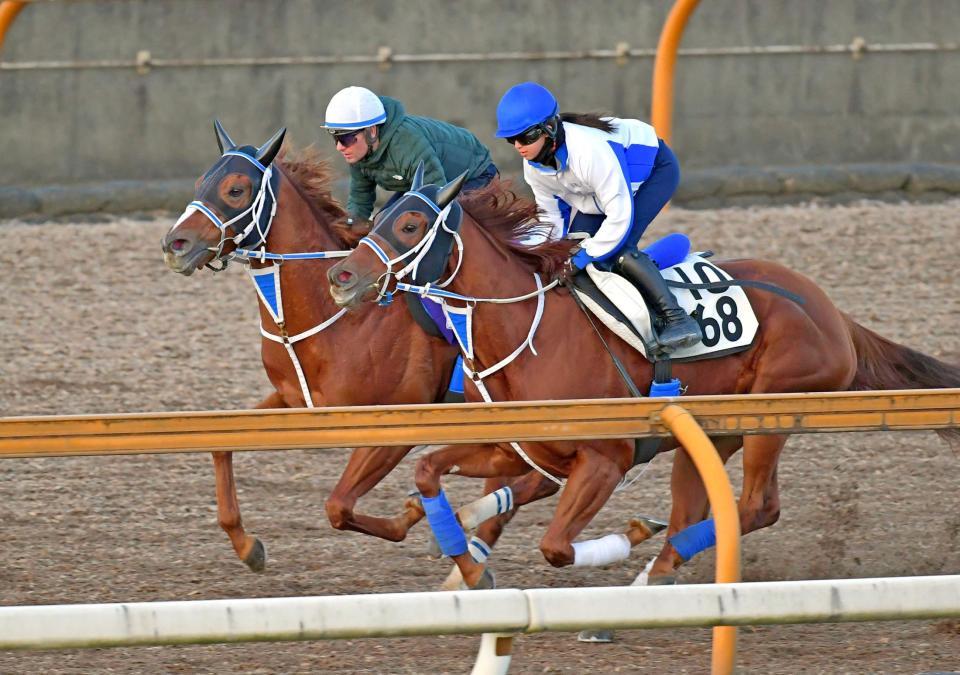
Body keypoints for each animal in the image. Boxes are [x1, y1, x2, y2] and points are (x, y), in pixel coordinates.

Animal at [161, 124, 544, 572]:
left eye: (236, 189)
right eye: (200, 183)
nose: (175, 244)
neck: (340, 319)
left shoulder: (399, 422)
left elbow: (339, 506)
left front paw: (415, 514)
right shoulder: (294, 400)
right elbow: (222, 447)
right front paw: (247, 545)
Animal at [330, 174, 960, 592]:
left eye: (410, 224)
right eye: (375, 218)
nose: (341, 276)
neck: (526, 331)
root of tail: (833, 312)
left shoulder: (606, 459)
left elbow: (556, 547)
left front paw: (627, 535)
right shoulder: (521, 449)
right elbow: (427, 471)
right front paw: (464, 565)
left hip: (769, 416)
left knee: (757, 508)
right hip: (709, 435)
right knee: (698, 508)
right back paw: (655, 580)